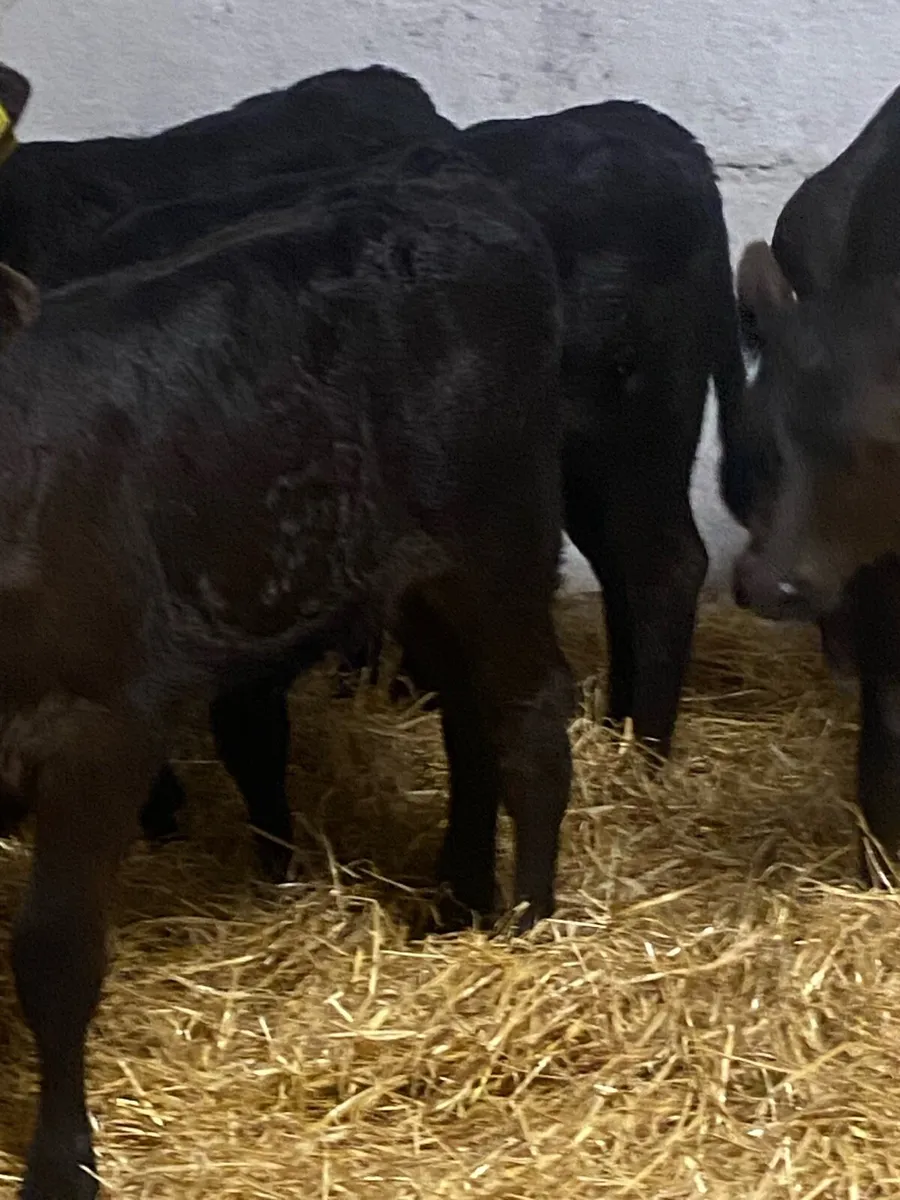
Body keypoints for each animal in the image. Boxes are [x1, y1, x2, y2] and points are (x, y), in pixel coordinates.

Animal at [0, 86, 574, 1198]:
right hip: (409, 569)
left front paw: (61, 1164)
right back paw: (458, 902)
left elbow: (55, 955)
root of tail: (442, 180)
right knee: (471, 725)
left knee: (530, 724)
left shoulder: (100, 723)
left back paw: (528, 935)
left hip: (502, 534)